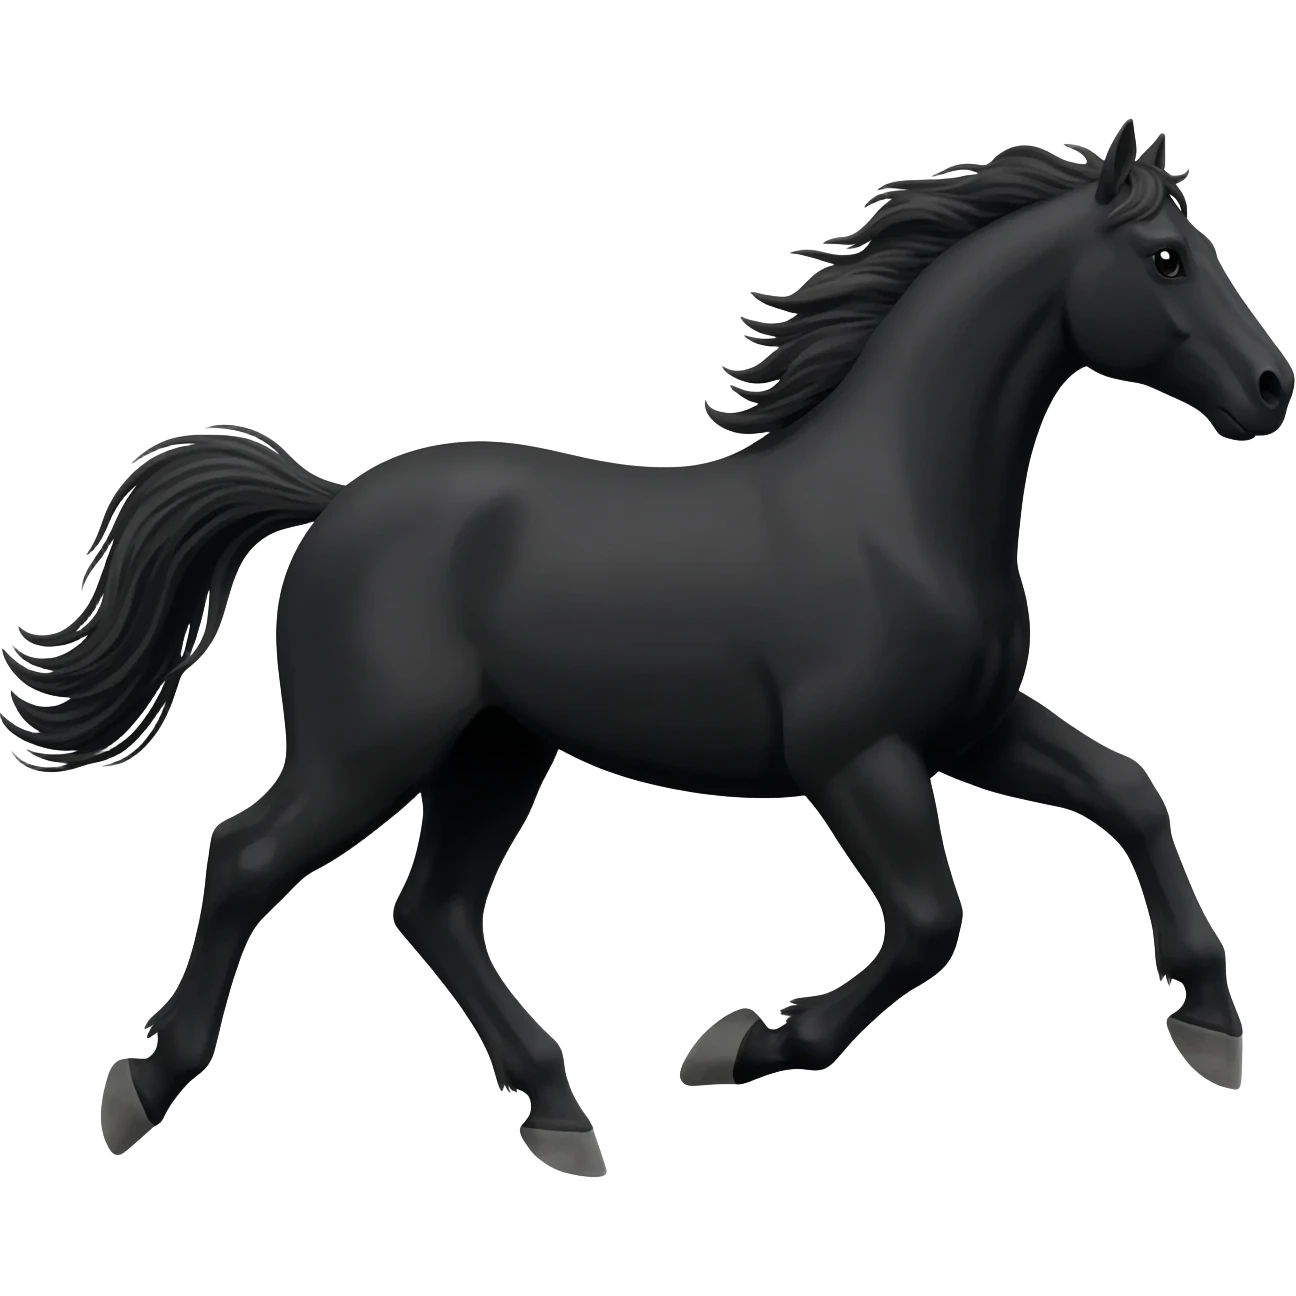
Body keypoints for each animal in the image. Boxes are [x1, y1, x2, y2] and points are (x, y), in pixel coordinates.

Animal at [5, 119, 1287, 1175]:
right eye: (1166, 258)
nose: (1270, 387)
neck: (896, 507)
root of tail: (331, 504)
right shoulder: (856, 757)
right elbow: (931, 921)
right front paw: (744, 1045)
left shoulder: (972, 727)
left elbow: (1131, 795)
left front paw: (1211, 1022)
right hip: (370, 749)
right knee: (247, 855)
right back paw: (142, 1090)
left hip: (495, 752)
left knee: (434, 910)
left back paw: (560, 1113)